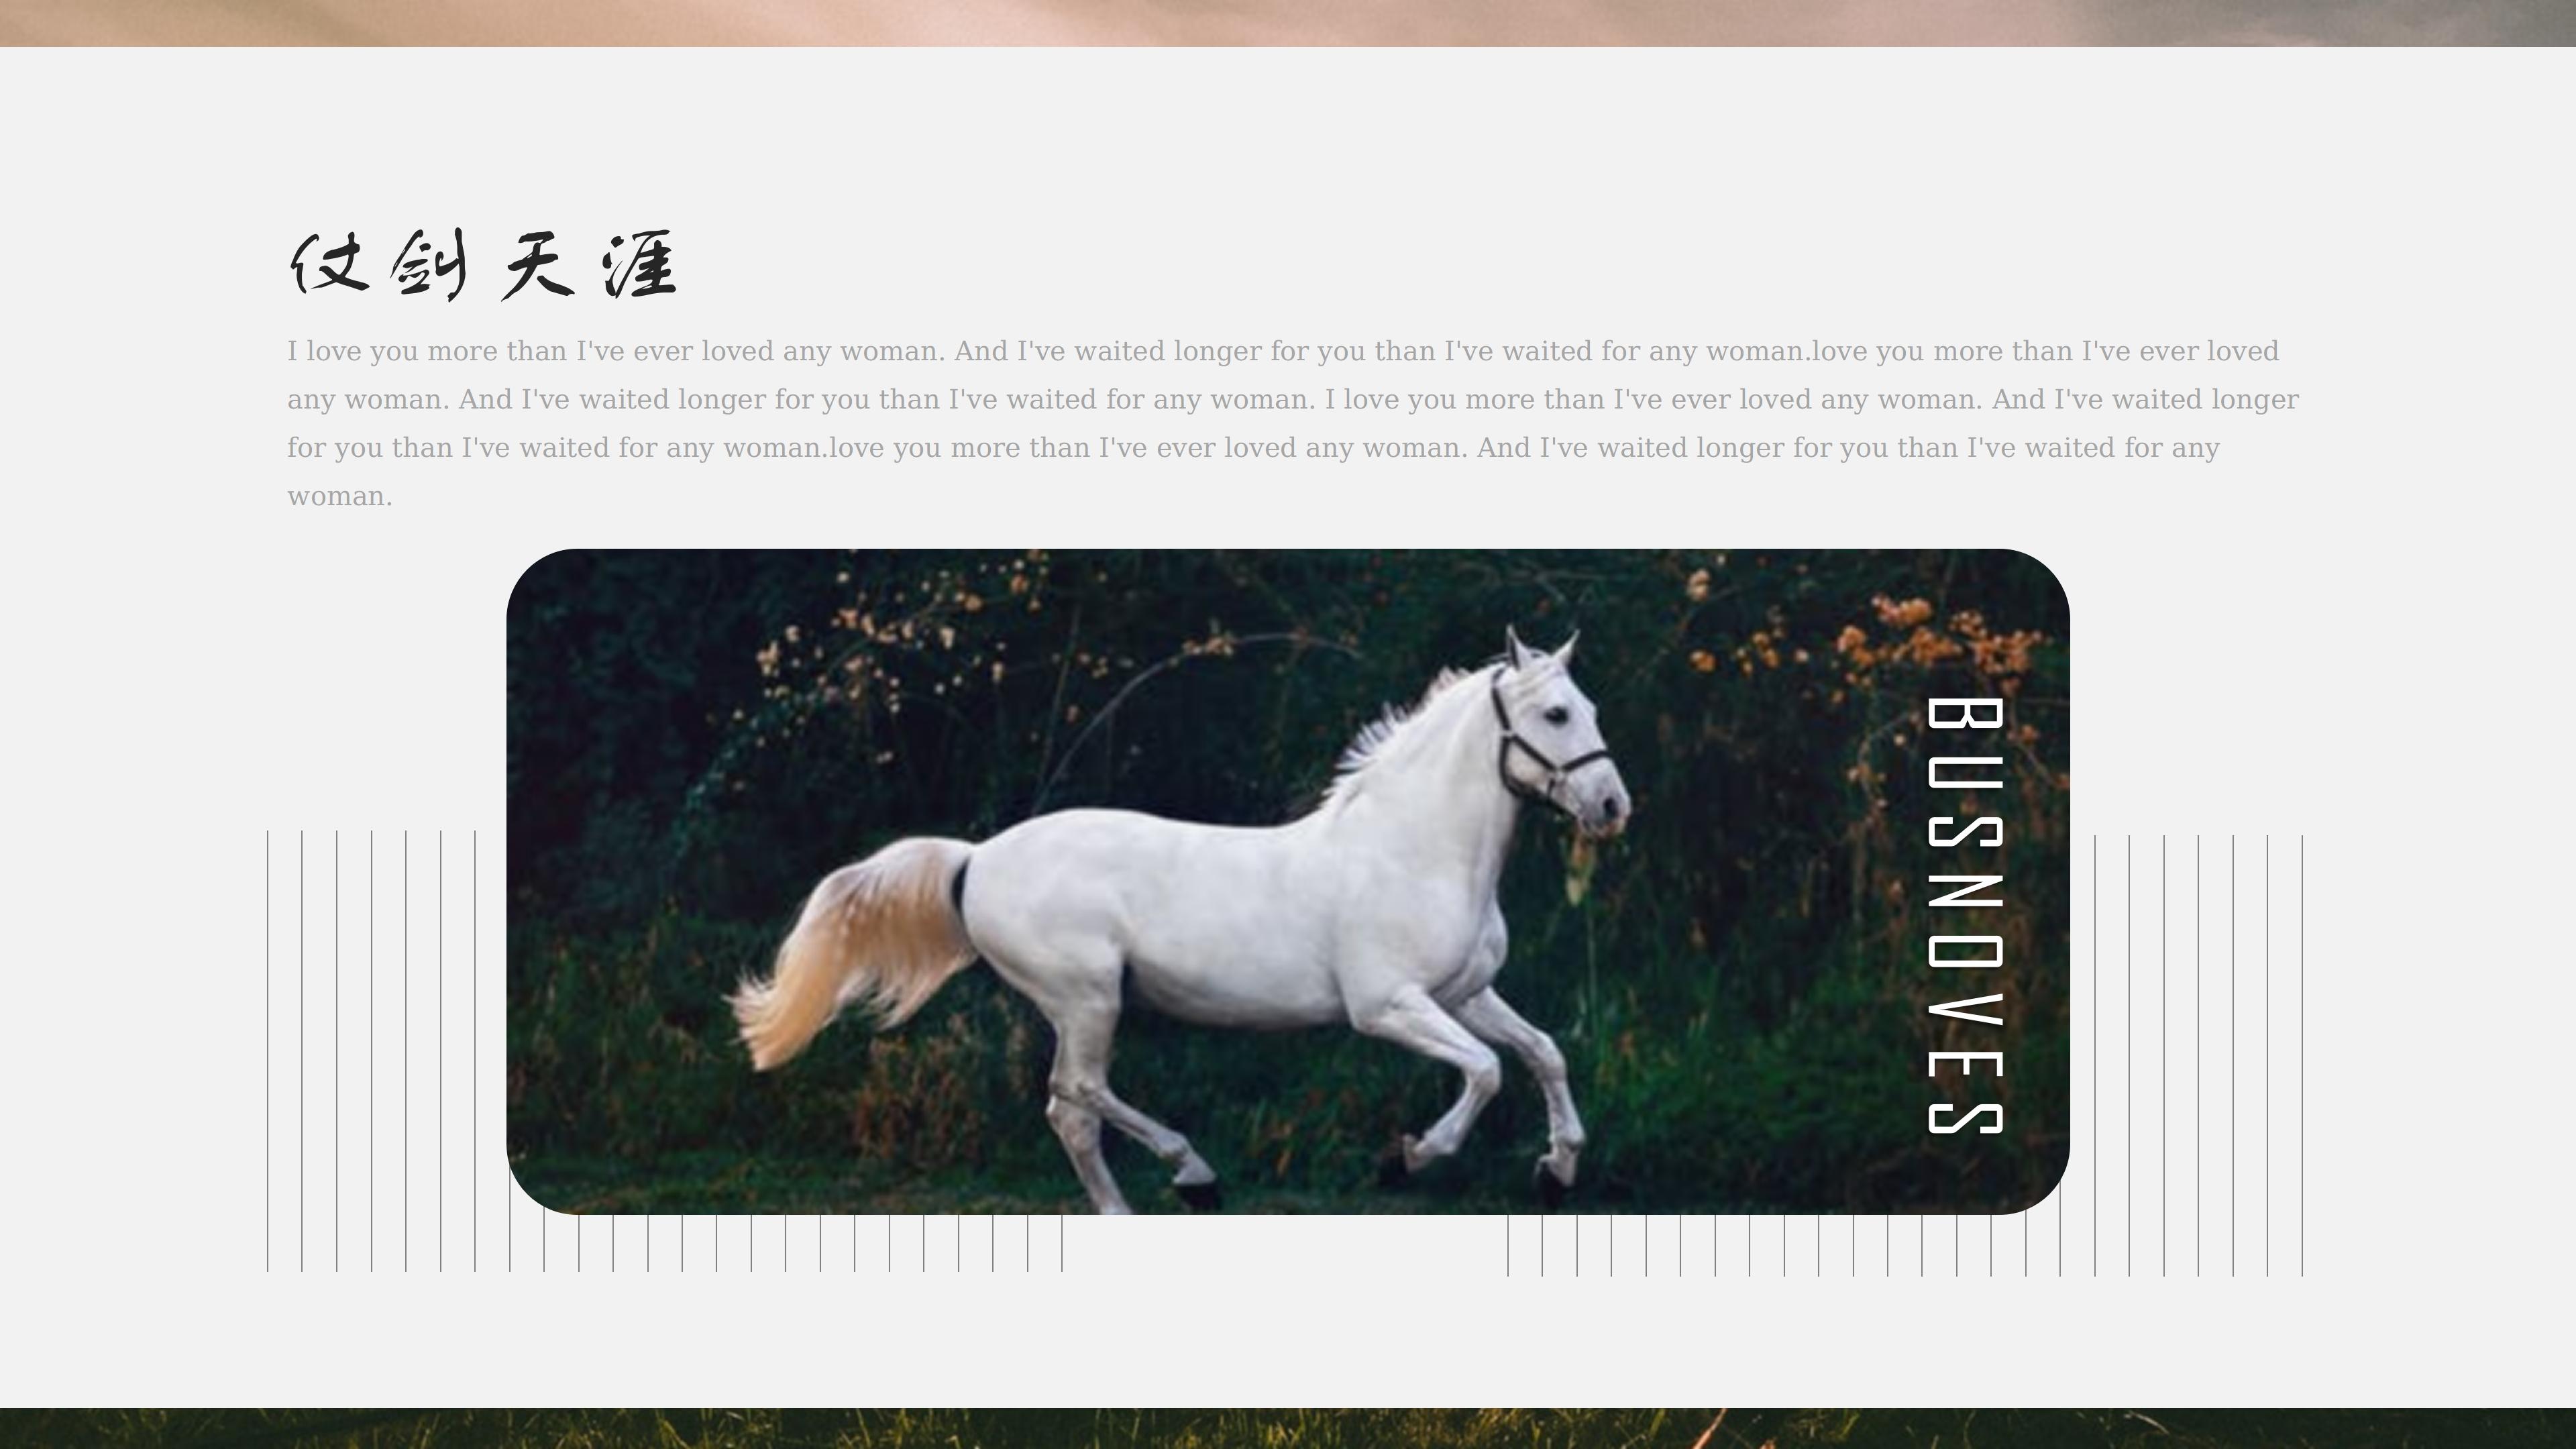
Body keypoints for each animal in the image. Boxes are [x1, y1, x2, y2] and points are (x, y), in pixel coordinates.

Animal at [728, 627, 1632, 1214]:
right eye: (1556, 715)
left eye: (1590, 705)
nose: (1612, 807)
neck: (1414, 850)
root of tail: (976, 858)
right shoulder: (1387, 1007)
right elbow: (1485, 1071)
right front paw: (1408, 1159)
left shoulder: (1465, 994)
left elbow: (1543, 1054)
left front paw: (1557, 1171)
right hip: (1087, 997)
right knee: (1077, 1096)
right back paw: (1193, 1176)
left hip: (1084, 1004)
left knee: (1072, 1111)